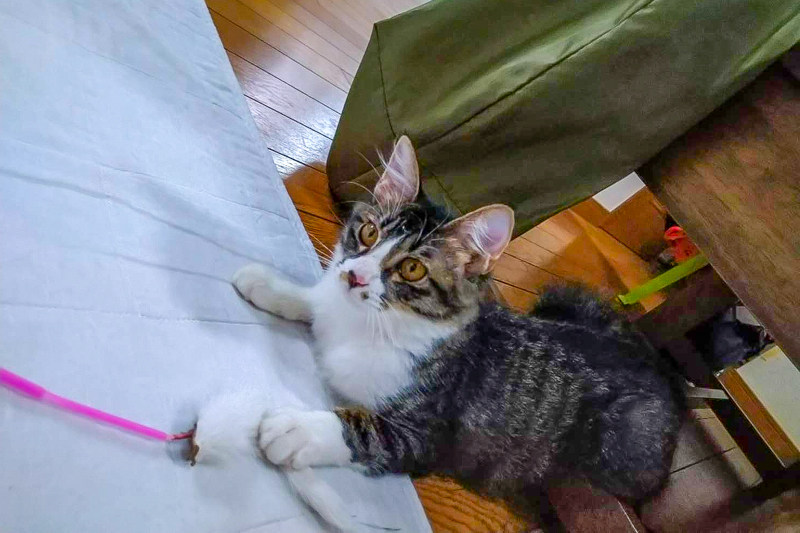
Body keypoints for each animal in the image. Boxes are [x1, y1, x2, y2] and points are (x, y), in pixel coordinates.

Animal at [233, 136, 685, 523]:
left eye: (411, 269)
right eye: (368, 231)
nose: (354, 276)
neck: (372, 323)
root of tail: (664, 373)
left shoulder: (424, 437)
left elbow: (365, 428)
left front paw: (296, 429)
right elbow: (316, 302)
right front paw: (274, 287)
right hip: (568, 298)